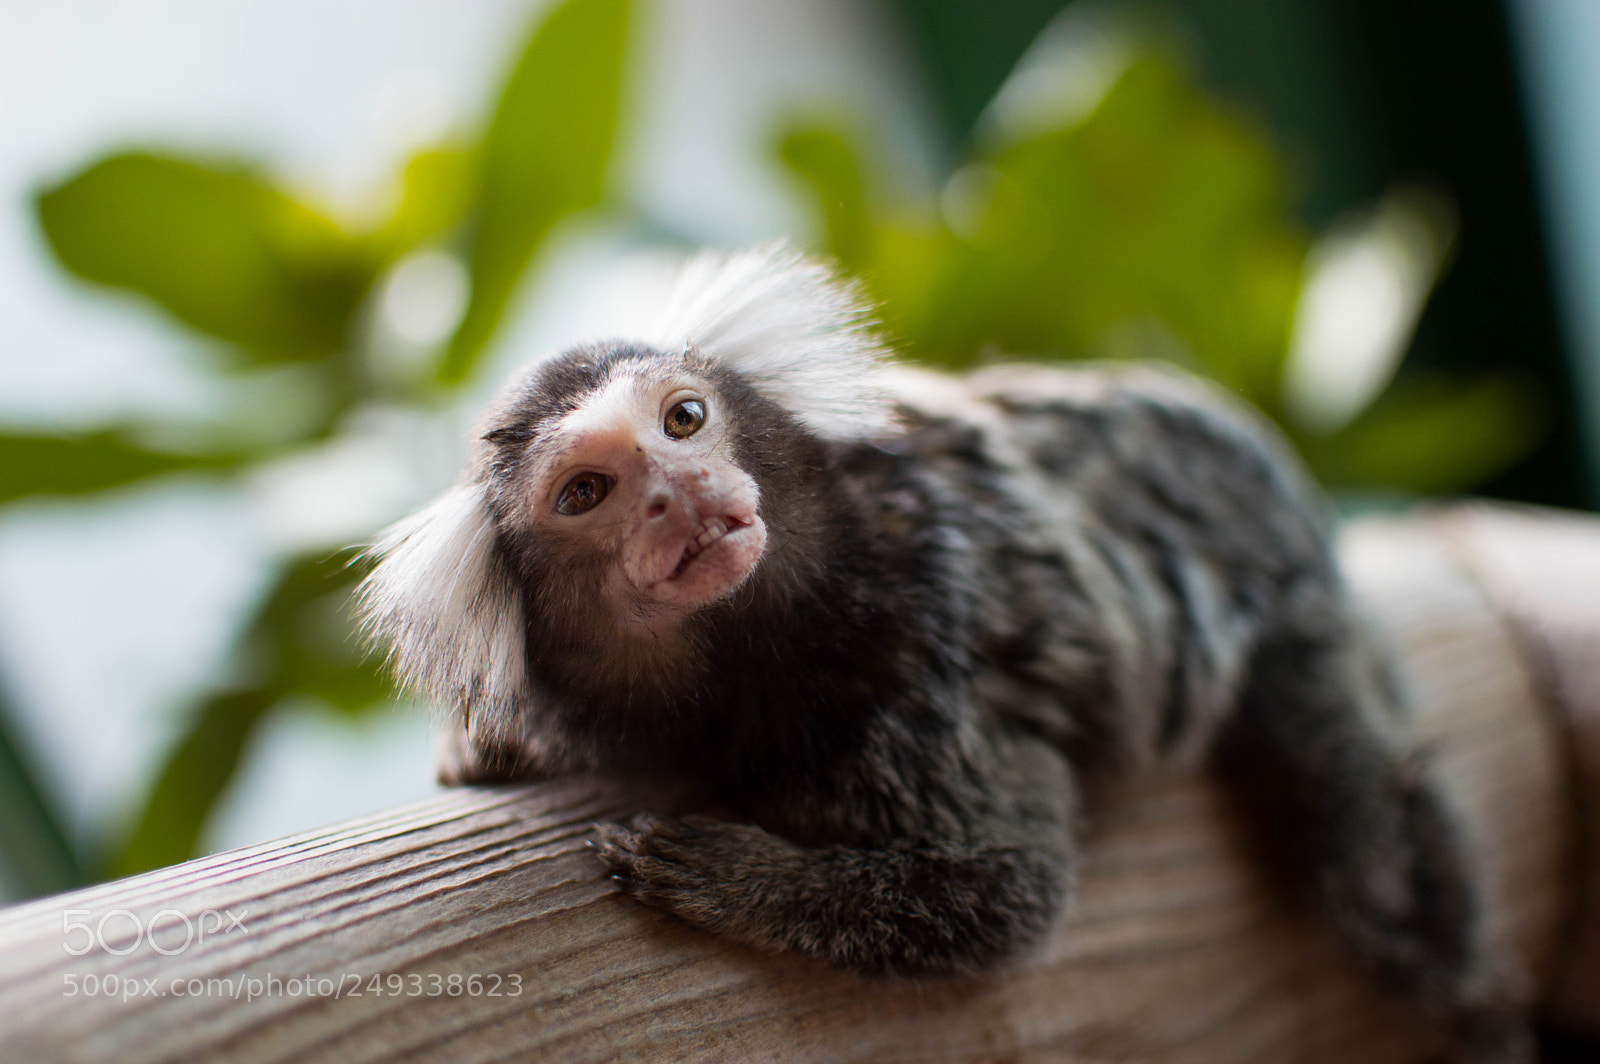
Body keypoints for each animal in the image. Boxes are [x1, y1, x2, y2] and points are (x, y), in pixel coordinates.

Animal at [359, 243, 1528, 1060]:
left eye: (684, 419)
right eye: (587, 491)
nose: (675, 493)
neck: (748, 647)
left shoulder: (916, 651)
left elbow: (1009, 887)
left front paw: (738, 876)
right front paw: (484, 749)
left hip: (1293, 604)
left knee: (1375, 863)